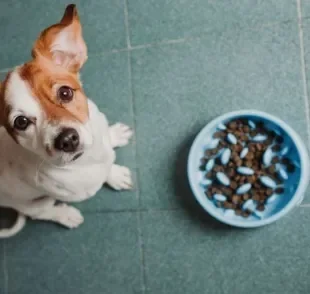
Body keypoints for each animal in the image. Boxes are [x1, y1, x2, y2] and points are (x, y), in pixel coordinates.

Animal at [0, 4, 133, 237]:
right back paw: (66, 216)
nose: (67, 140)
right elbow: (104, 172)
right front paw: (115, 176)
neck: (88, 157)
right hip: (33, 203)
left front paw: (114, 136)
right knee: (40, 213)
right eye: (21, 122)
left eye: (65, 92)